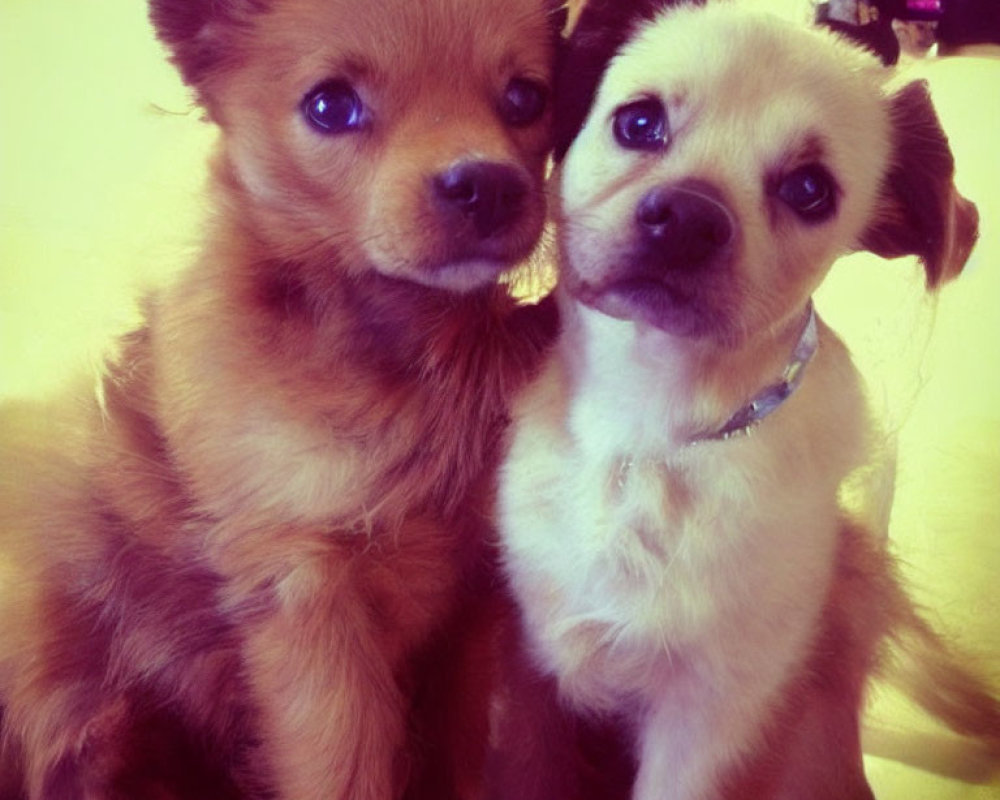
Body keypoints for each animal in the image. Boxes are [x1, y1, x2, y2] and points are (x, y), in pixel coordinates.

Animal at [0, 0, 564, 796]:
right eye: (330, 106)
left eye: (525, 97)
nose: (486, 184)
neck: (414, 355)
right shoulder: (304, 600)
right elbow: (348, 771)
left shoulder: (480, 608)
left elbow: (488, 764)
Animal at [496, 1, 996, 800]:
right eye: (639, 123)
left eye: (810, 190)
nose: (688, 217)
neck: (647, 436)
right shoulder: (536, 670)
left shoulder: (708, 717)